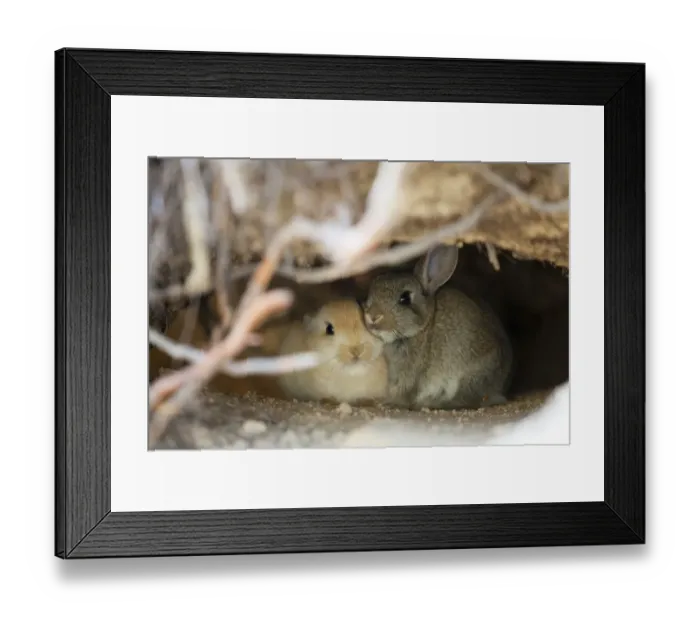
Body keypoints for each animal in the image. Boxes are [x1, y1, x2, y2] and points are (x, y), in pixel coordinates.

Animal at [360, 244, 513, 410]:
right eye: (371, 291)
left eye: (405, 298)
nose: (373, 316)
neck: (422, 328)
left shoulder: (411, 372)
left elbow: (404, 391)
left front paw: (388, 402)